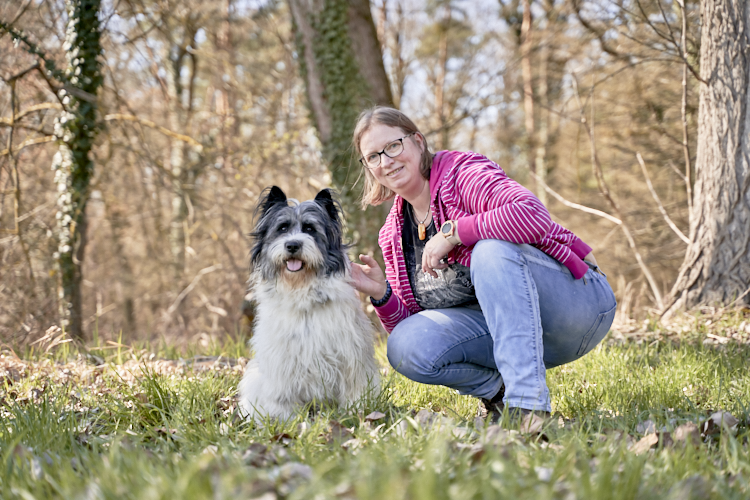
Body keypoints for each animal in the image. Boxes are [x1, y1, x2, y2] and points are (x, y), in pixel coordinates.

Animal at [239, 186, 382, 420]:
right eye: (282, 228)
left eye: (309, 228)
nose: (292, 245)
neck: (302, 291)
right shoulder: (281, 359)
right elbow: (282, 395)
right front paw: (285, 419)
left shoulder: (351, 355)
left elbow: (355, 385)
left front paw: (356, 410)